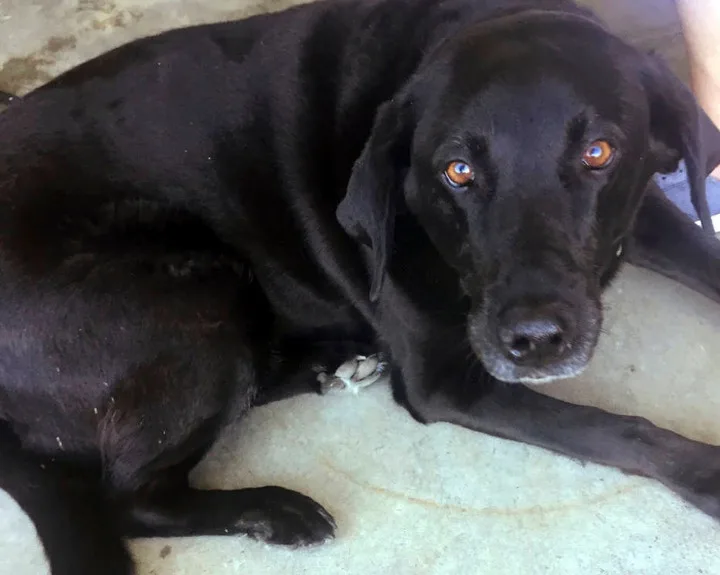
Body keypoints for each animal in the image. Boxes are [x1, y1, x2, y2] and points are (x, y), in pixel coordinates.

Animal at [1, 2, 720, 572]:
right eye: (457, 171)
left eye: (599, 153)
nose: (535, 339)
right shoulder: (445, 383)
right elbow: (616, 427)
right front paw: (709, 472)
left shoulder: (641, 212)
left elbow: (705, 252)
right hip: (196, 293)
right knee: (132, 498)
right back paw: (274, 508)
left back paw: (331, 363)